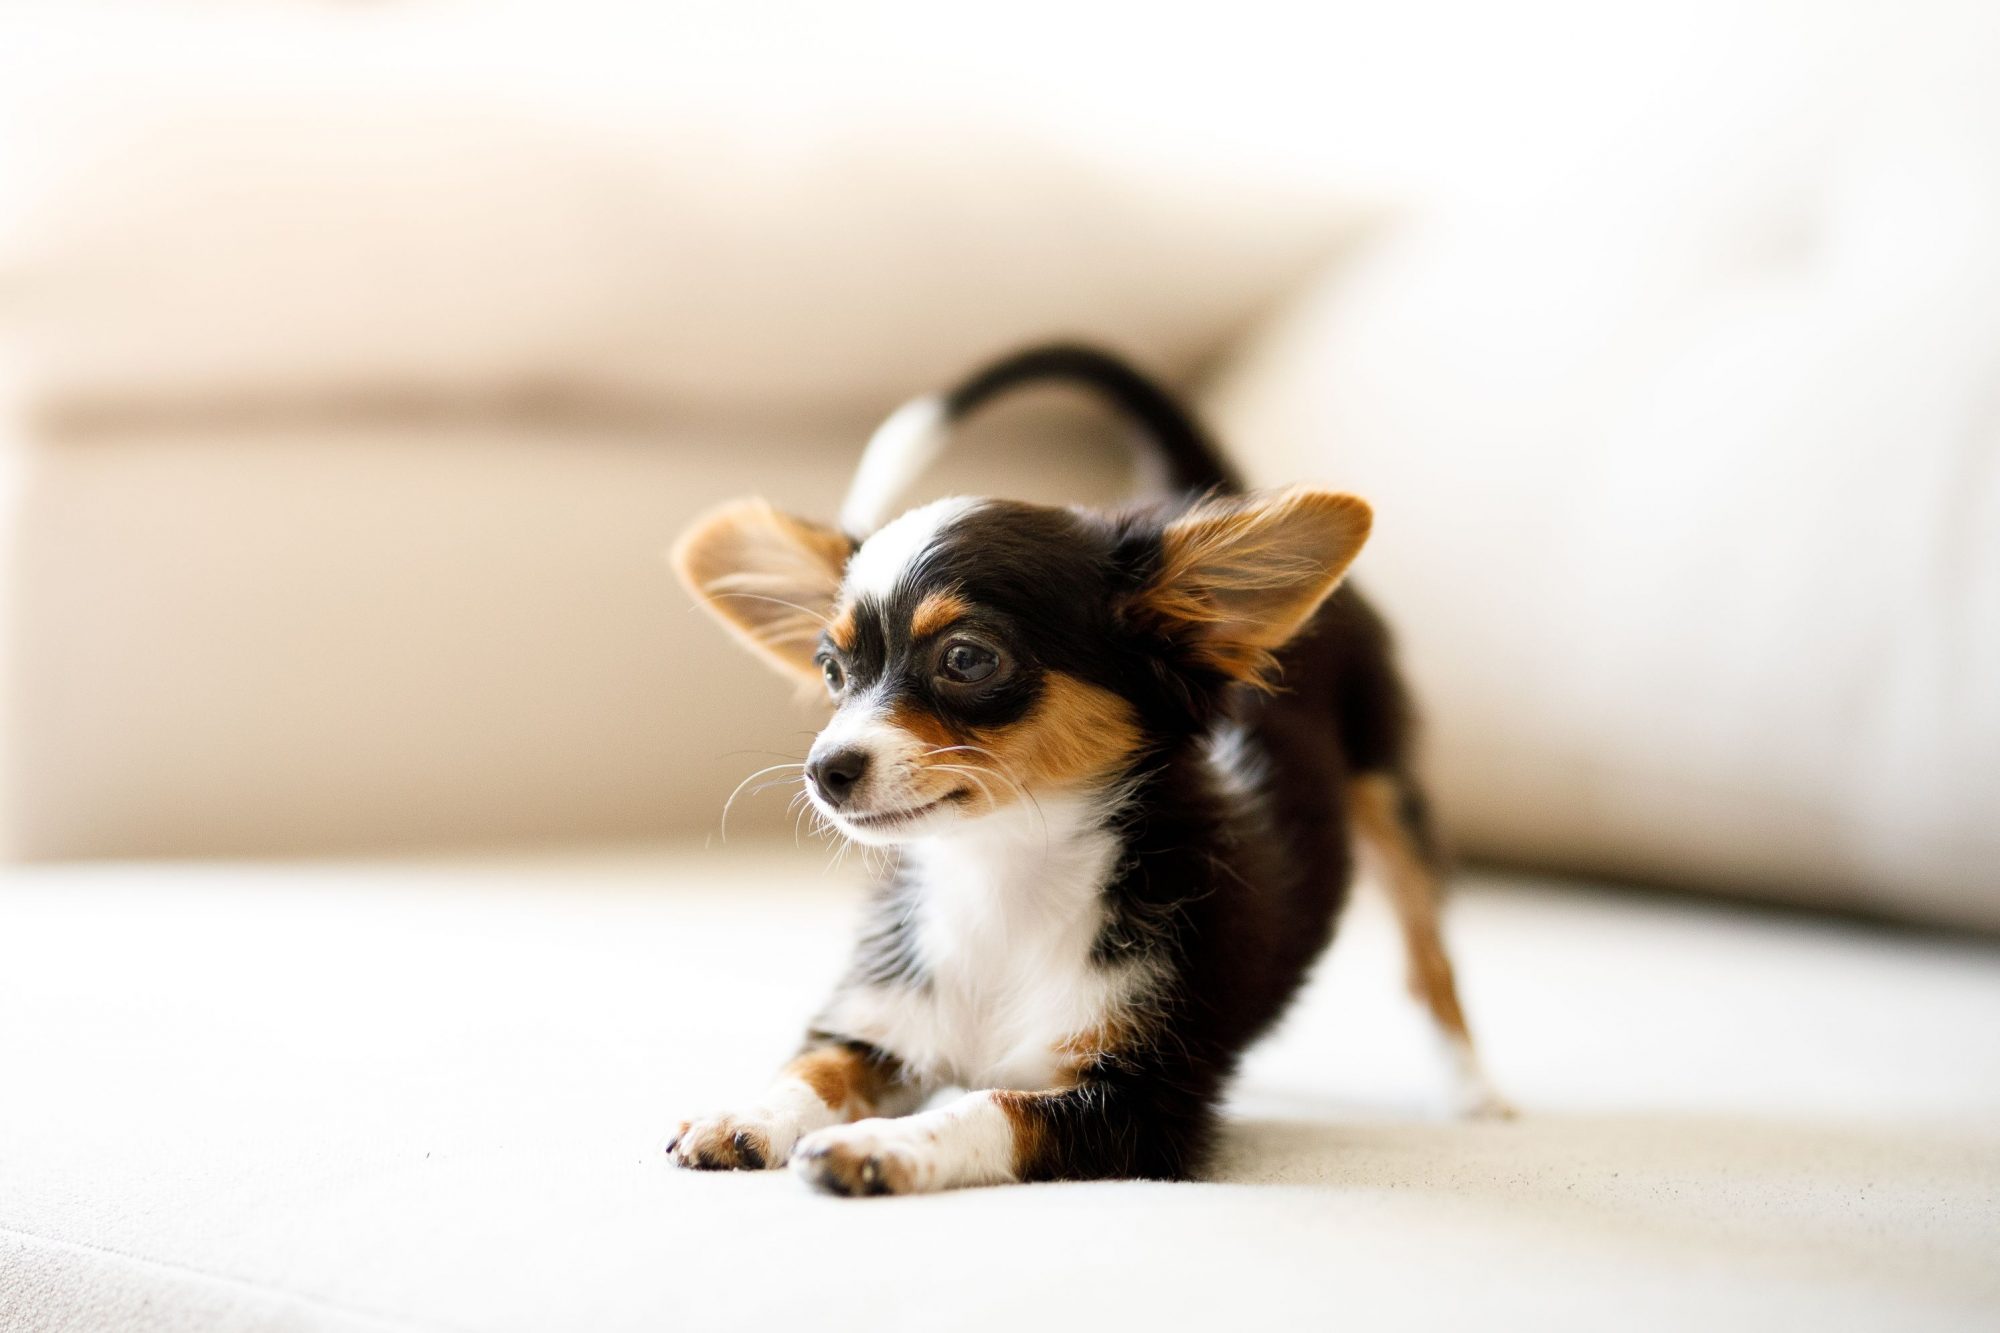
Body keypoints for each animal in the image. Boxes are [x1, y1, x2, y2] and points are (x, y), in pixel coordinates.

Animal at [664, 342, 1504, 1192]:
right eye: (832, 671)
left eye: (968, 659)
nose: (824, 770)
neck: (1000, 874)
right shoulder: (877, 1024)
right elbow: (812, 1071)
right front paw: (749, 1116)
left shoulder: (1140, 1110)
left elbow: (988, 1106)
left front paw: (881, 1145)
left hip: (1386, 788)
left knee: (1428, 952)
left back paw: (1472, 1089)